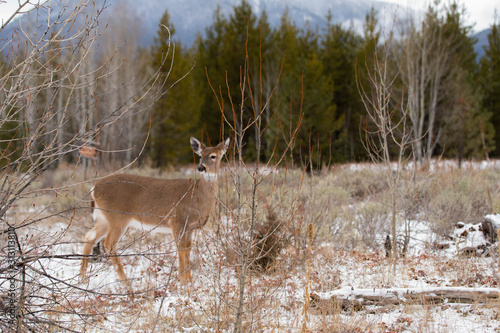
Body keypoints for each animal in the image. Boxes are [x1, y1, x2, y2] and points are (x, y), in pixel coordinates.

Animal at [80, 136, 230, 284]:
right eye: (200, 156)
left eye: (213, 156)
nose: (201, 167)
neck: (197, 195)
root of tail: (94, 188)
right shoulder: (177, 221)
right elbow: (181, 250)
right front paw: (184, 283)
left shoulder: (191, 228)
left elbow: (187, 250)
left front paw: (190, 281)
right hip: (117, 216)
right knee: (109, 243)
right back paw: (127, 283)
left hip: (104, 217)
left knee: (90, 236)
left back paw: (83, 278)